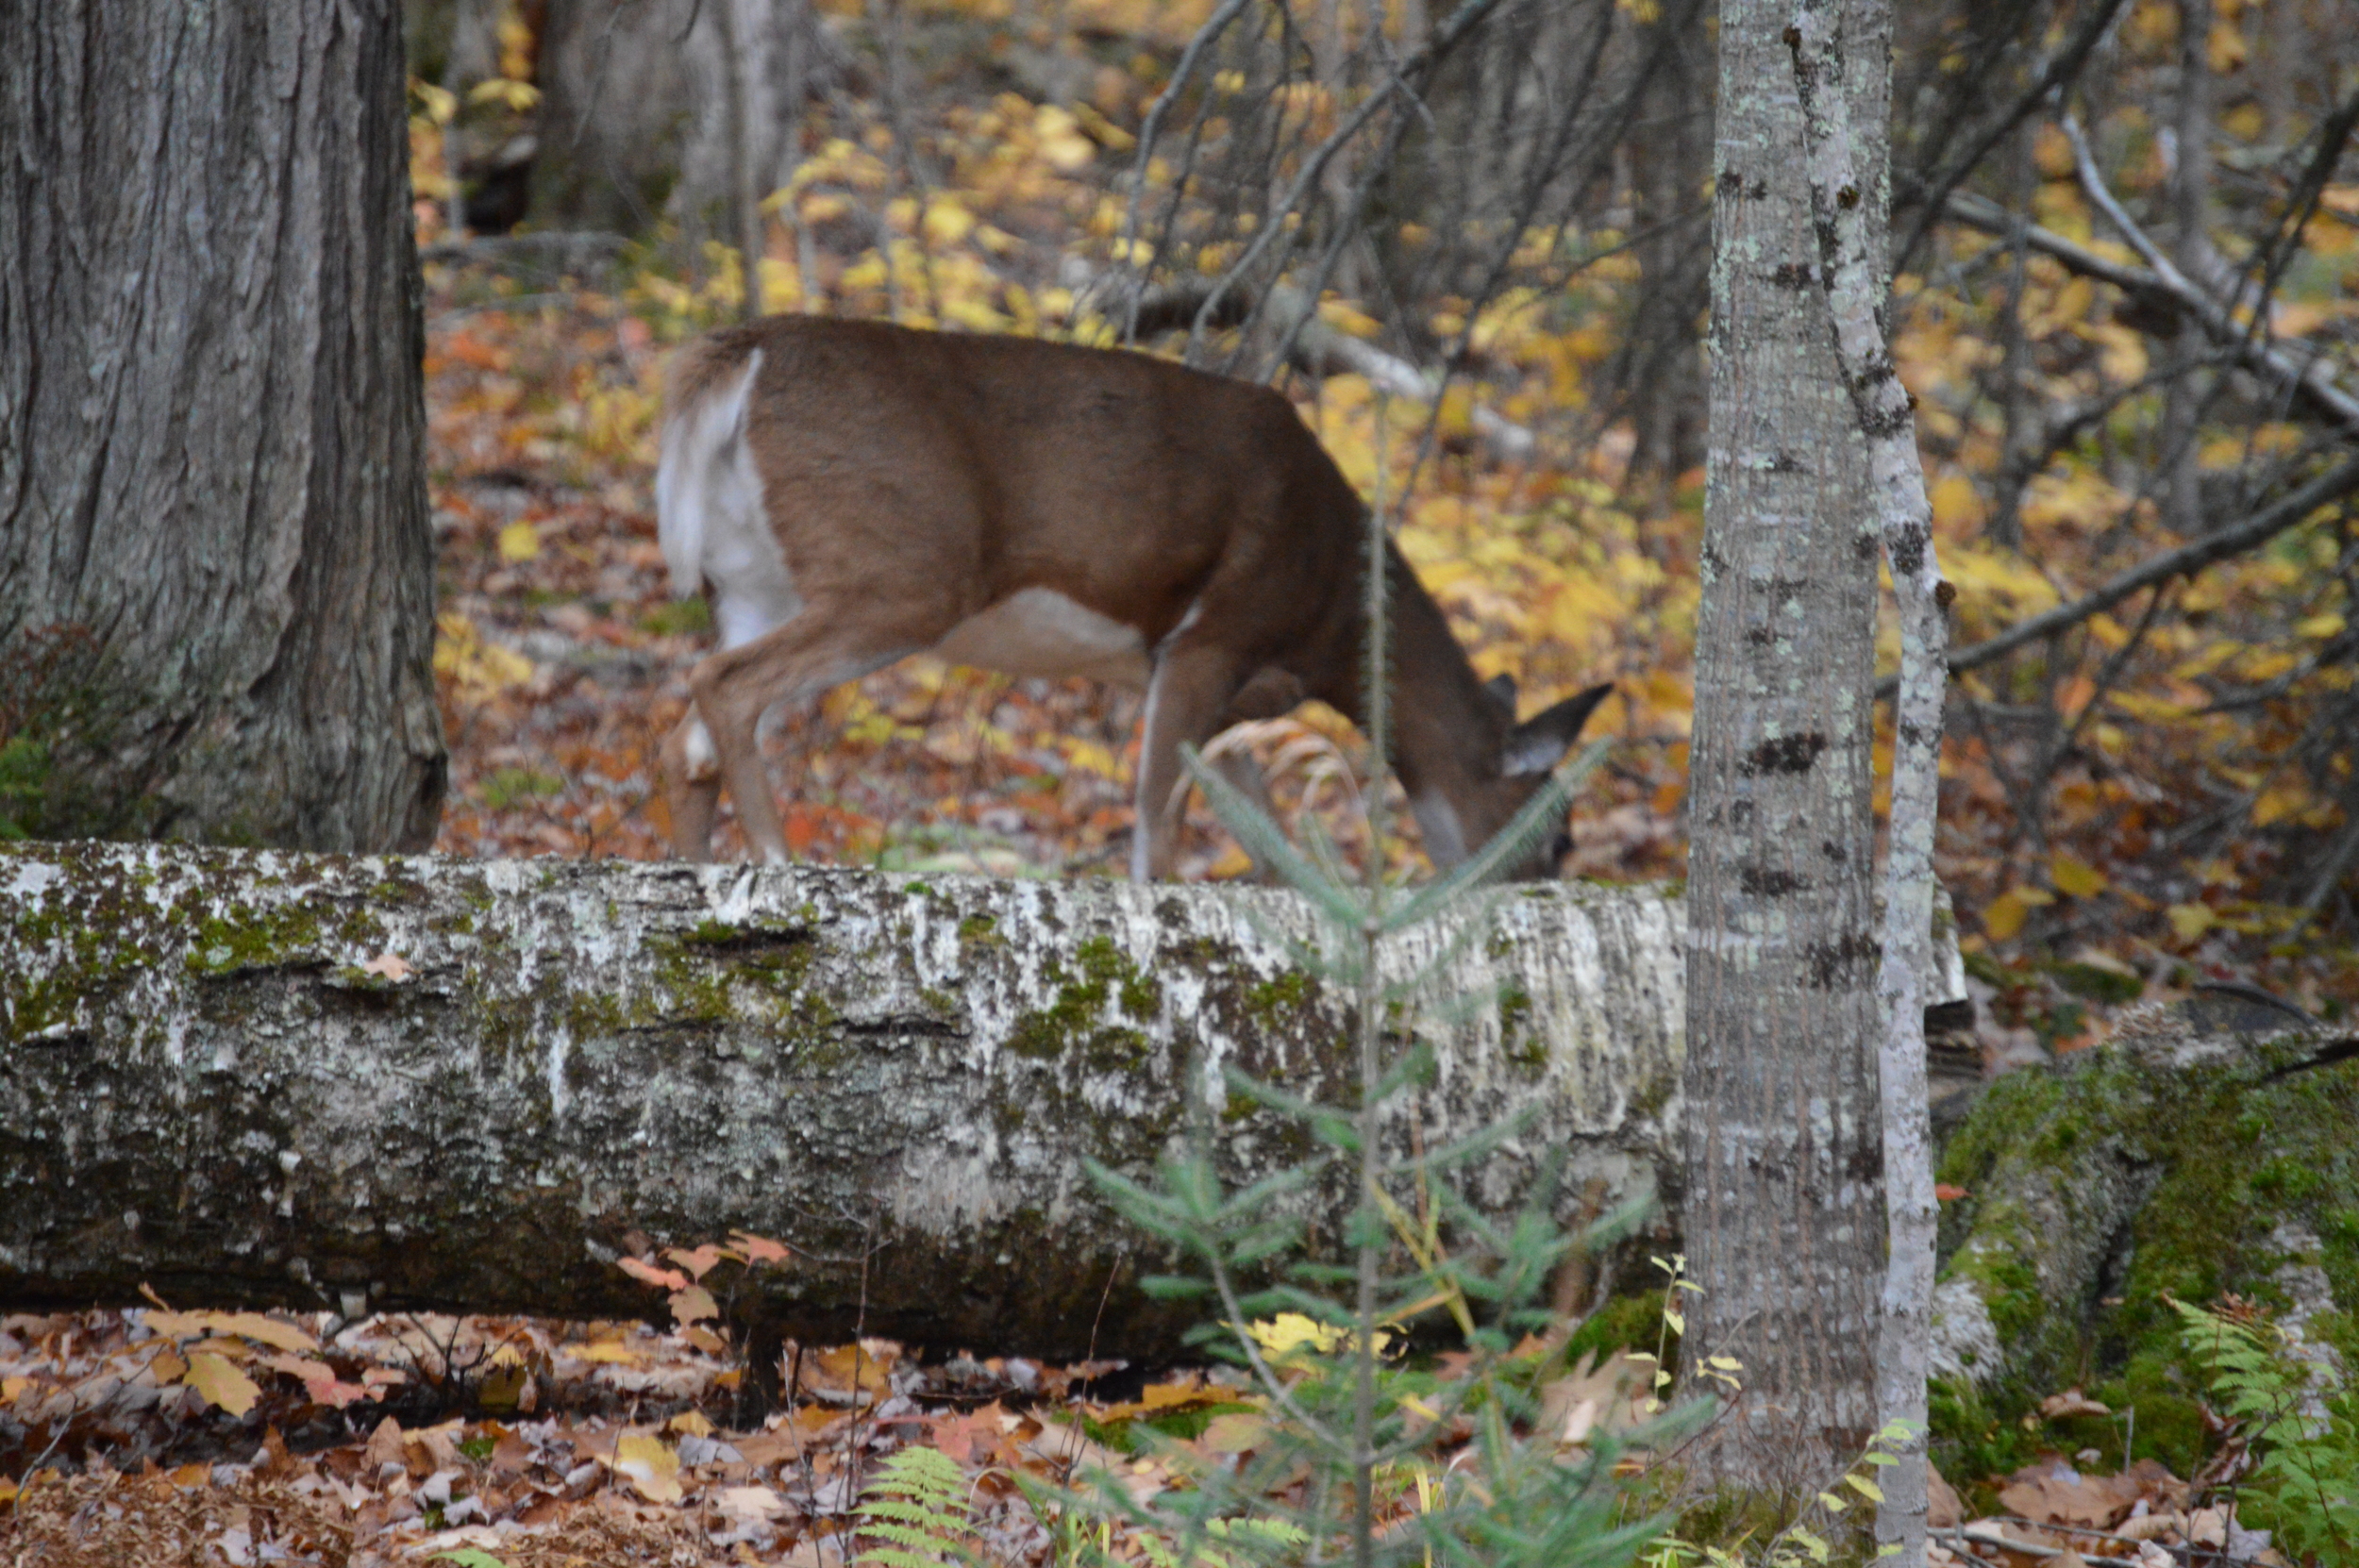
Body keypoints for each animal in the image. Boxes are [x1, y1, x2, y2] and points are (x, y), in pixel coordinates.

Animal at [651, 318, 1604, 881]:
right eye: (1555, 834)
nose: (1535, 890)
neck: (1336, 618)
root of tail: (741, 352)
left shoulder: (1207, 681)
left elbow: (1257, 831)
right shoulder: (1212, 636)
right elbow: (1155, 825)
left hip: (751, 579)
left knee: (689, 731)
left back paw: (695, 873)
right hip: (902, 572)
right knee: (723, 685)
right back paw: (775, 861)